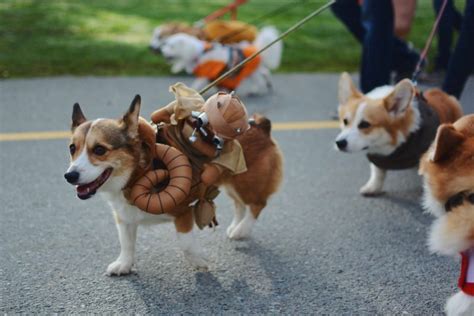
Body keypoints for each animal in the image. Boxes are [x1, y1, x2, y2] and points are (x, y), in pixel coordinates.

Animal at [65, 95, 284, 276]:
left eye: (100, 150)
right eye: (72, 148)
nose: (69, 176)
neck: (140, 171)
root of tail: (260, 125)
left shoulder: (183, 212)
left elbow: (185, 243)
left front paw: (199, 260)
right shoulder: (124, 217)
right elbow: (126, 243)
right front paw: (124, 265)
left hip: (245, 184)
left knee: (257, 204)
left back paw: (242, 230)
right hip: (232, 184)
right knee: (240, 204)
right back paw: (235, 228)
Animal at [334, 73, 462, 195]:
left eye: (365, 124)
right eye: (345, 121)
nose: (339, 143)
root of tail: (441, 93)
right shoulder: (377, 158)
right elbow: (377, 173)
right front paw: (373, 188)